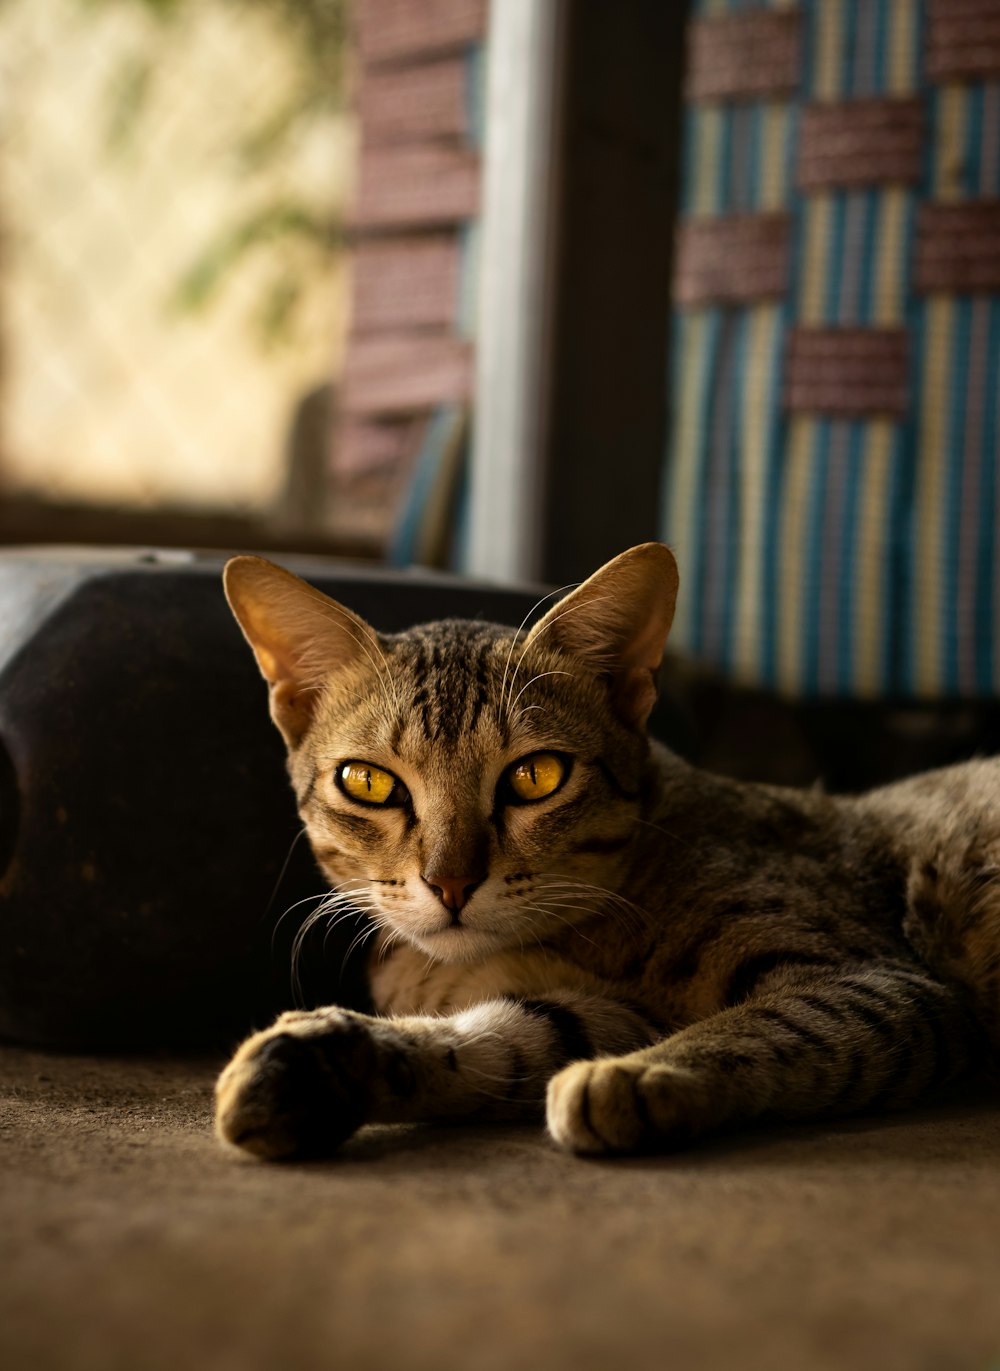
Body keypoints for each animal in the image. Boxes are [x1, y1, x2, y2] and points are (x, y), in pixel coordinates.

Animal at [213, 542, 993, 1157]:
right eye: (368, 782)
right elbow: (506, 1036)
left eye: (535, 776)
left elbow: (769, 1025)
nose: (451, 883)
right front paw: (328, 1060)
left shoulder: (879, 981)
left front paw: (642, 1074)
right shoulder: (601, 1012)